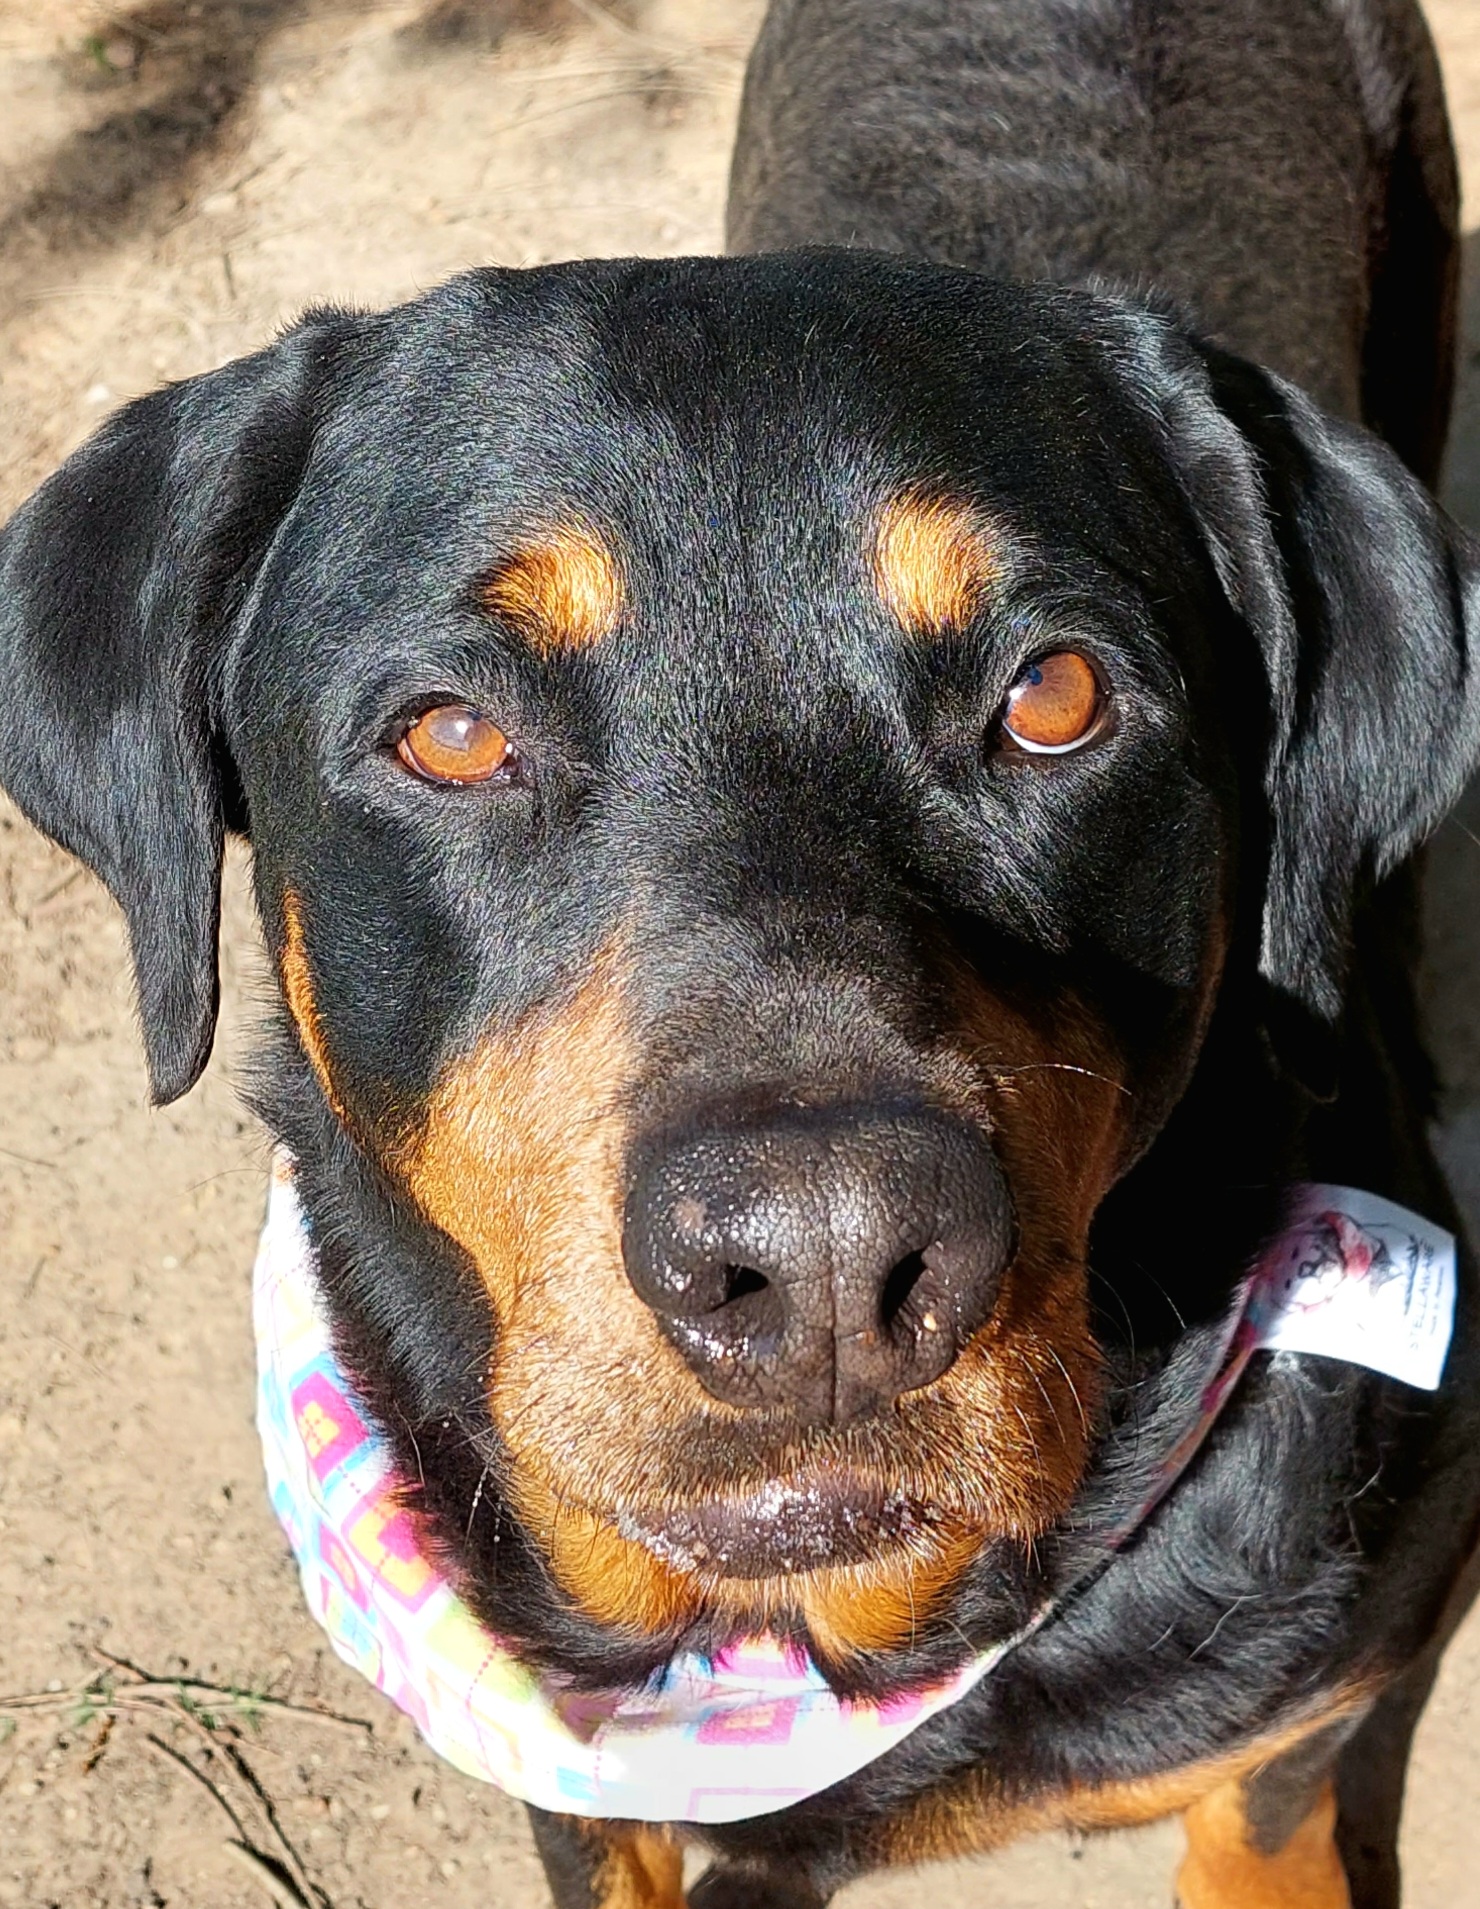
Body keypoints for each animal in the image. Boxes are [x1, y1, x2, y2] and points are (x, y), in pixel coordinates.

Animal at [2, 0, 1480, 1901]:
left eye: (1057, 695)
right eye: (450, 733)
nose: (827, 1257)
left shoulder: (1305, 1697)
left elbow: (1268, 1795)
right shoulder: (567, 1763)